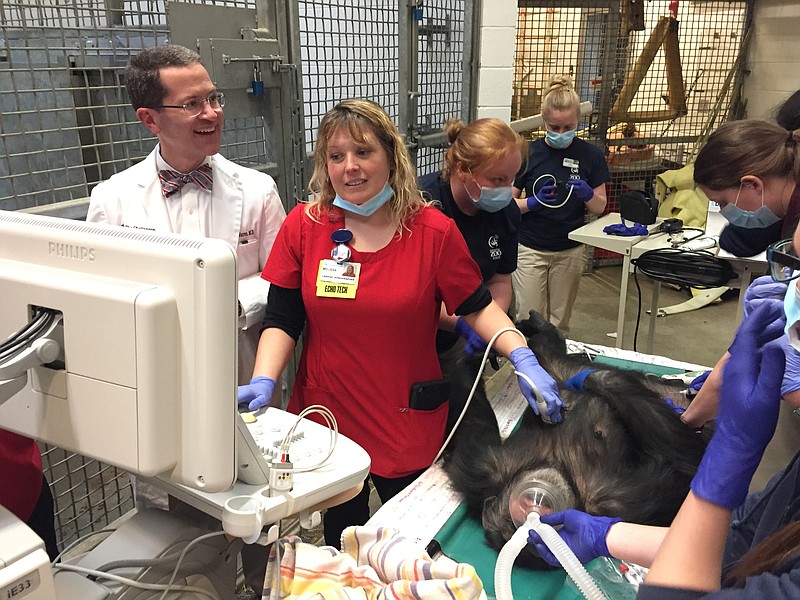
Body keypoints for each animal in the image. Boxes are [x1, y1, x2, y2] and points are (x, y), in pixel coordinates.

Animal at [444, 312, 712, 568]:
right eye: (519, 529)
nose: (535, 509)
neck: (556, 463)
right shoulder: (619, 501)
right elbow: (689, 465)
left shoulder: (483, 466)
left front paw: (467, 357)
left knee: (552, 361)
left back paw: (542, 331)